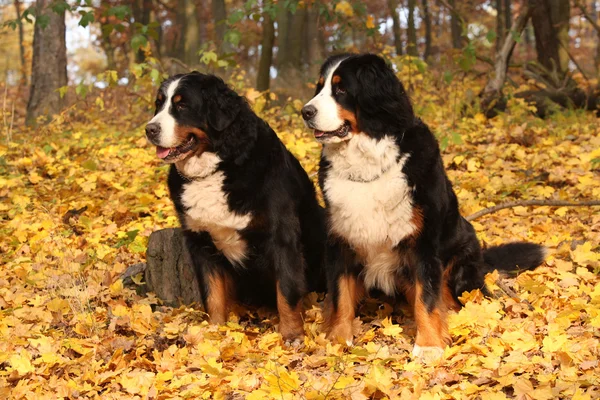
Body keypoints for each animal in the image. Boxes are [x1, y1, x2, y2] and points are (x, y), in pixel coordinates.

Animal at [145, 72, 326, 340]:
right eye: (159, 104)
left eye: (182, 105)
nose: (149, 129)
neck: (217, 168)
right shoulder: (201, 242)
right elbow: (213, 294)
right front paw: (214, 331)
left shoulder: (281, 236)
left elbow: (287, 291)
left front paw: (291, 335)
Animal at [302, 54, 548, 360]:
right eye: (319, 87)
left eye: (341, 89)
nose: (305, 112)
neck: (366, 164)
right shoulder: (341, 239)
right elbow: (340, 296)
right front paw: (338, 339)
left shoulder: (422, 243)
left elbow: (427, 299)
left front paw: (429, 345)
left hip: (461, 264)